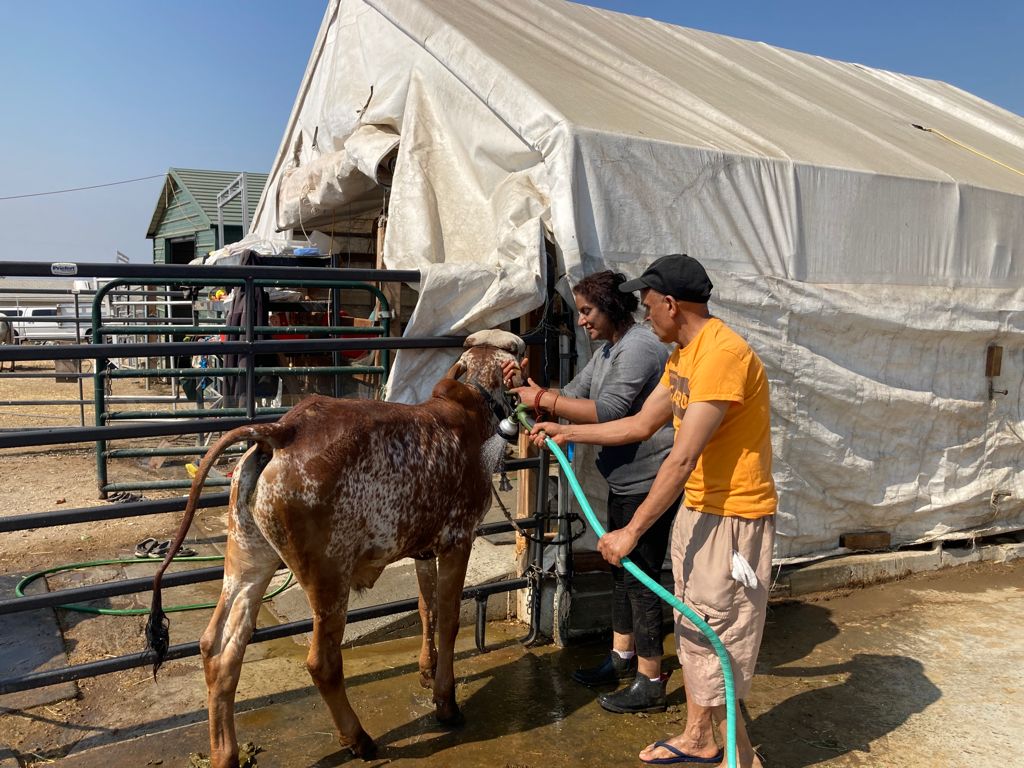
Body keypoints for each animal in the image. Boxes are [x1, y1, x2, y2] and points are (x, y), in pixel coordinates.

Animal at [146, 329, 526, 767]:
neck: (471, 408)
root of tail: (283, 429)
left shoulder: (423, 549)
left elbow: (425, 608)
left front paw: (426, 671)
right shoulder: (457, 540)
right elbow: (447, 620)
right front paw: (445, 702)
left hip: (247, 560)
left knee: (220, 649)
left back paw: (225, 753)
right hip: (329, 577)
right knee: (322, 663)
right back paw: (359, 739)